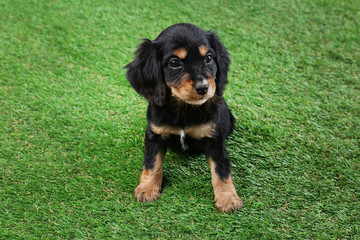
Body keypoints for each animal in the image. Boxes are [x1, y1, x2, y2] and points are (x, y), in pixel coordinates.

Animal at [125, 23, 243, 212]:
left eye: (208, 58)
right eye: (174, 63)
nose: (203, 87)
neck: (184, 109)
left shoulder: (214, 139)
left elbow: (221, 170)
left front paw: (228, 198)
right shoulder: (155, 134)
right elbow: (151, 163)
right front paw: (147, 189)